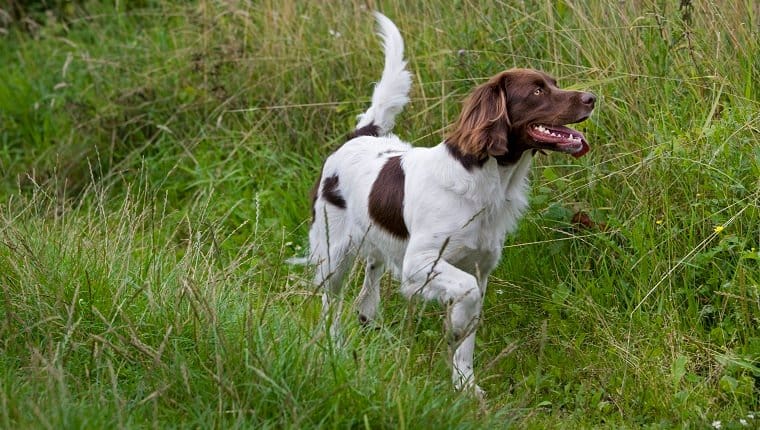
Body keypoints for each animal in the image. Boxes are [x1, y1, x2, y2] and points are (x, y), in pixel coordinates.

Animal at [302, 11, 592, 394]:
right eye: (537, 90)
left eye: (554, 83)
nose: (591, 97)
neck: (485, 181)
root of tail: (360, 135)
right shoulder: (420, 264)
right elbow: (465, 302)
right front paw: (454, 328)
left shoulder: (480, 268)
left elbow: (469, 333)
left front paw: (465, 384)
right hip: (334, 253)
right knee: (329, 305)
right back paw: (332, 348)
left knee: (370, 274)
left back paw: (366, 312)